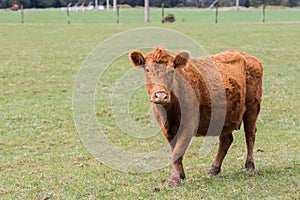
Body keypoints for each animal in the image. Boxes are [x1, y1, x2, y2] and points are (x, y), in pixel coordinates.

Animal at [129, 47, 262, 187]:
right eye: (147, 70)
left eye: (172, 70)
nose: (161, 96)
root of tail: (247, 56)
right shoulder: (167, 129)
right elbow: (175, 150)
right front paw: (181, 175)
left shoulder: (189, 126)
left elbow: (177, 152)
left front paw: (174, 180)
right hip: (225, 117)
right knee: (226, 140)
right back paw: (214, 168)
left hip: (252, 107)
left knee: (250, 135)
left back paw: (249, 165)